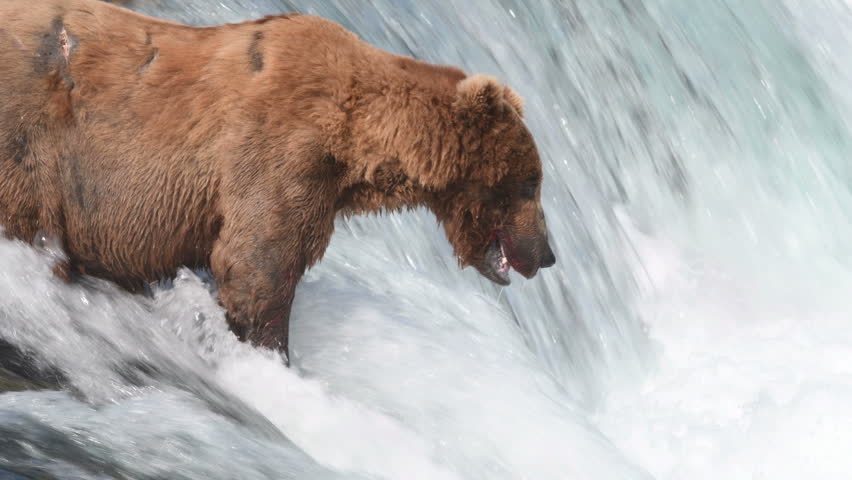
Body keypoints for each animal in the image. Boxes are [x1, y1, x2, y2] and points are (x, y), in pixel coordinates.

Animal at [0, 0, 556, 362]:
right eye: (532, 182)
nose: (548, 253)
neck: (358, 142)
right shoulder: (278, 153)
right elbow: (257, 266)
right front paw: (274, 360)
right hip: (31, 144)